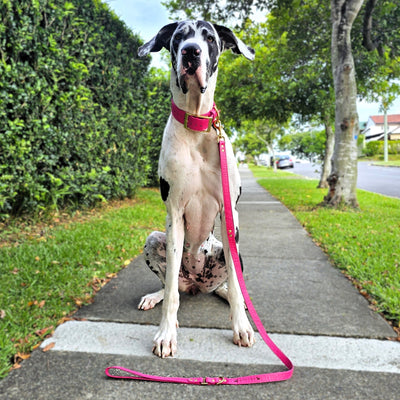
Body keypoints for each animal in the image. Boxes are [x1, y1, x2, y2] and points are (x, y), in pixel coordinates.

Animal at [139, 21, 255, 360]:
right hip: (155, 240)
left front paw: (241, 327)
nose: (191, 52)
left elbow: (236, 283)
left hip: (230, 250)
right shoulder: (174, 214)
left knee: (227, 286)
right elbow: (171, 296)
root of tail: (198, 285)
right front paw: (166, 334)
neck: (197, 125)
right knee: (171, 286)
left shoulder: (231, 215)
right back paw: (156, 295)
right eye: (178, 37)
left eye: (210, 38)